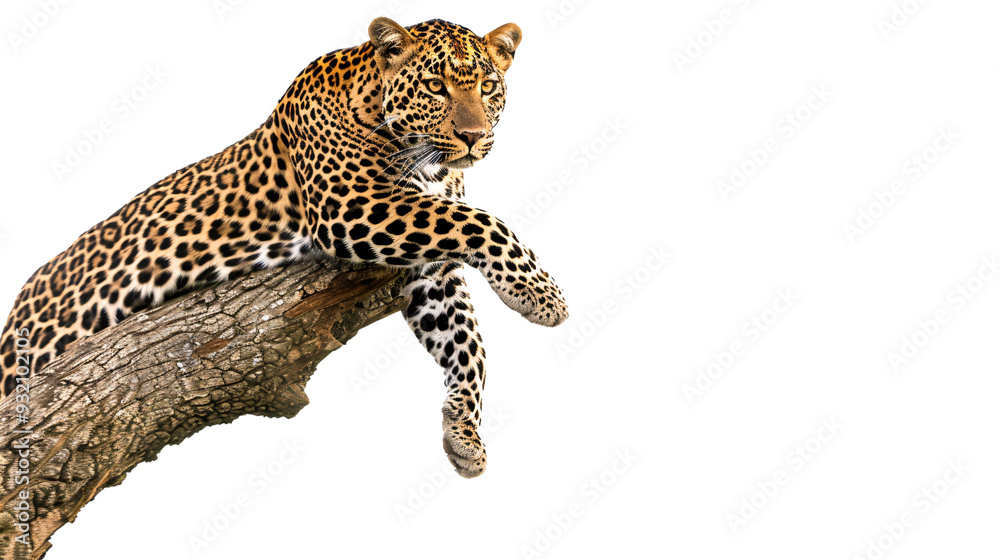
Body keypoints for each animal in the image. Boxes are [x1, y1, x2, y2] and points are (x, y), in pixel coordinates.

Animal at [0, 18, 568, 478]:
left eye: (488, 87)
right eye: (435, 86)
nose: (474, 136)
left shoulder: (428, 270)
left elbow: (470, 346)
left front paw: (464, 435)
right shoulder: (353, 205)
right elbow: (485, 222)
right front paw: (544, 296)